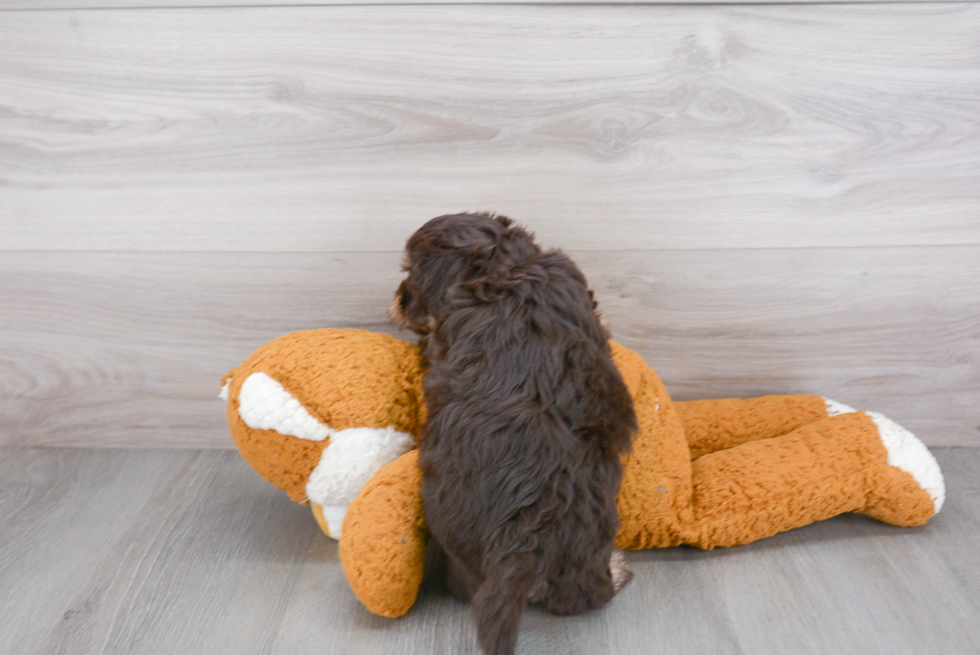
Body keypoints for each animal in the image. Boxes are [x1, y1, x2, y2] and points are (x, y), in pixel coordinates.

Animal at [390, 215, 636, 655]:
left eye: (409, 275)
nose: (398, 299)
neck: (502, 271)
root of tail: (522, 535)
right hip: (588, 540)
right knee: (583, 595)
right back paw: (617, 571)